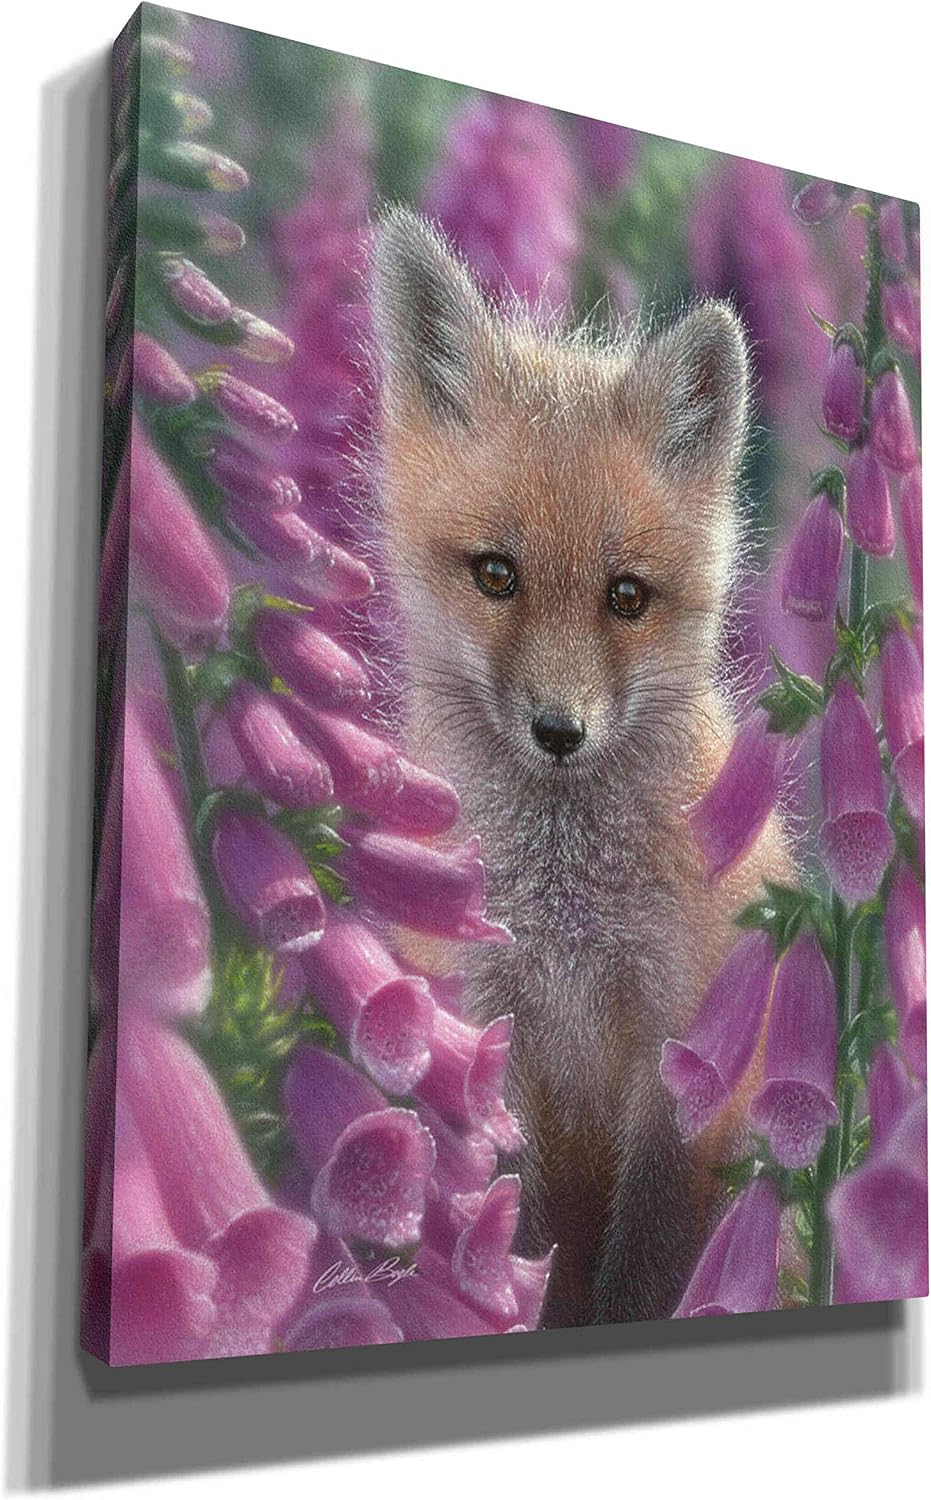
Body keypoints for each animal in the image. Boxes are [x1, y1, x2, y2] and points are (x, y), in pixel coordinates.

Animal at [370, 207, 789, 1328]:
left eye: (627, 597)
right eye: (495, 575)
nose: (559, 731)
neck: (566, 927)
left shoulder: (681, 1051)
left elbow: (647, 1256)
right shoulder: (486, 1033)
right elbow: (525, 1236)